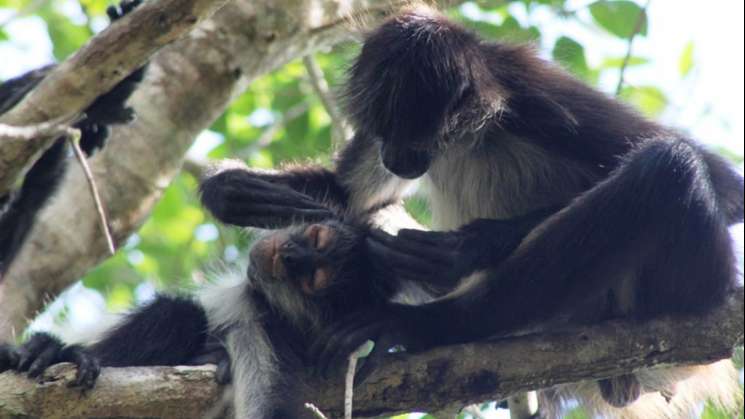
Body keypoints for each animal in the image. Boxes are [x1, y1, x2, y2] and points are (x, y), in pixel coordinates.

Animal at [198, 6, 744, 419]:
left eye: (415, 134)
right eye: (383, 130)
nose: (396, 158)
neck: (470, 132)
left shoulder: (536, 96)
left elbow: (725, 187)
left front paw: (465, 249)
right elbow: (354, 197)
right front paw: (234, 192)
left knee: (669, 166)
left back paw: (416, 325)